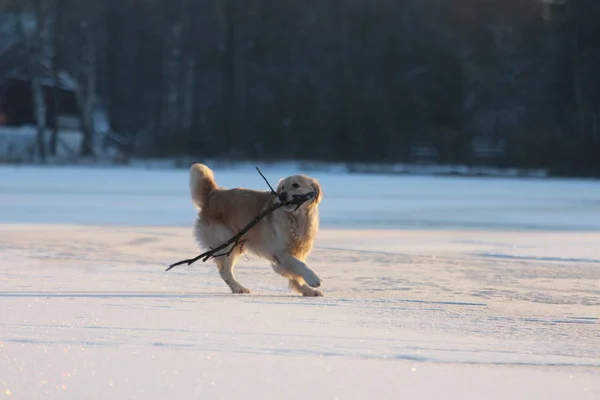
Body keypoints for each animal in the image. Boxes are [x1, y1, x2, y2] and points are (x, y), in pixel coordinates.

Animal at [190, 163, 326, 296]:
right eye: (282, 188)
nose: (281, 196)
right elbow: (300, 265)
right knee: (225, 271)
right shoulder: (280, 253)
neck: (297, 218)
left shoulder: (297, 251)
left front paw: (306, 290)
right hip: (227, 244)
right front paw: (313, 279)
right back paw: (239, 288)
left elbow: (294, 274)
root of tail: (214, 192)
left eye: (296, 185)